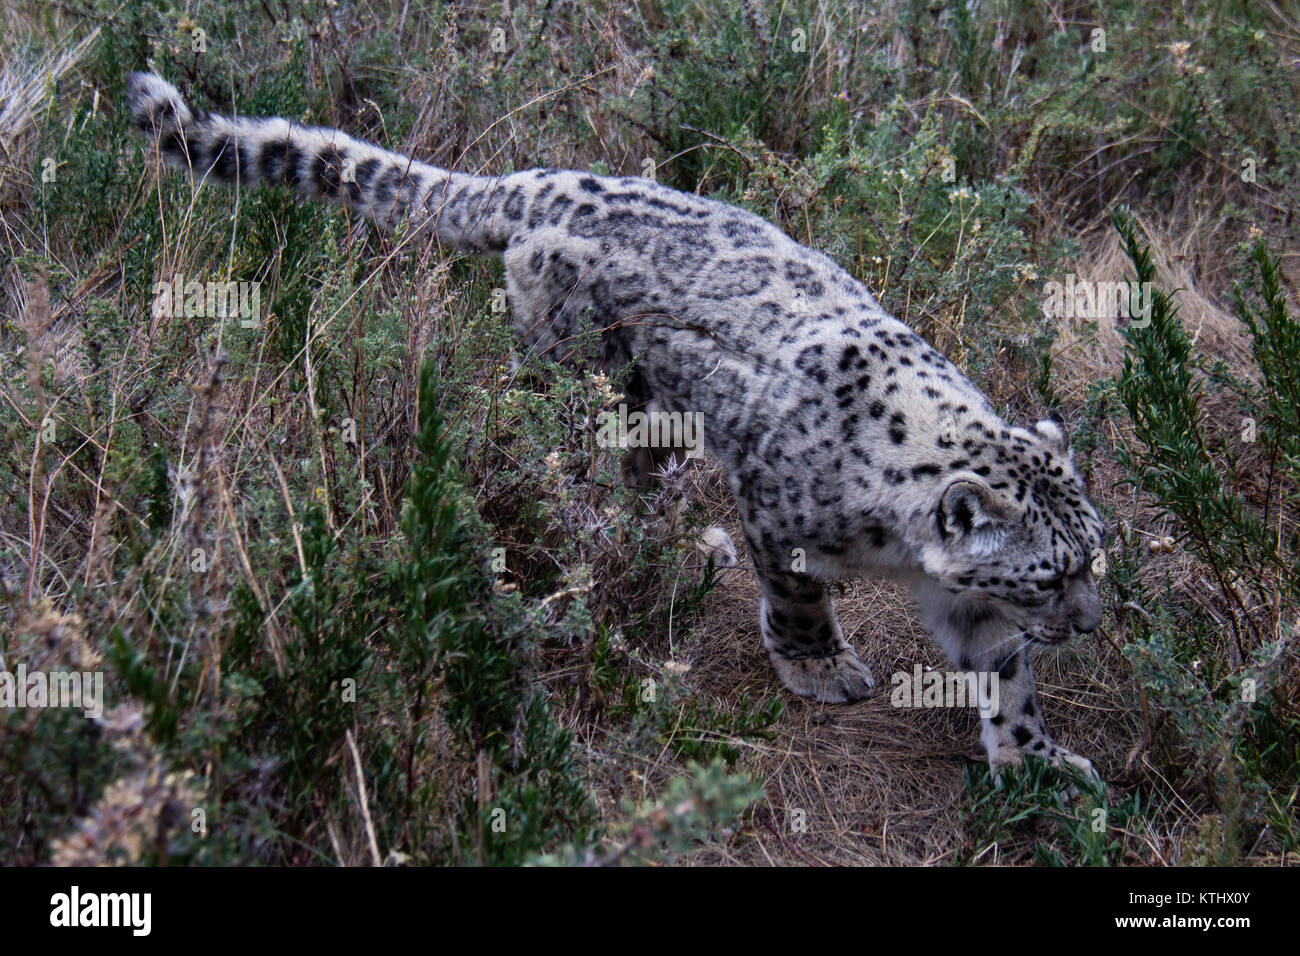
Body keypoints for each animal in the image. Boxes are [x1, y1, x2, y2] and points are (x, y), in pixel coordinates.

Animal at [129, 70, 1107, 775]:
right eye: (1049, 576)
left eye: (1092, 558)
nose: (1092, 625)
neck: (898, 547)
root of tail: (530, 184)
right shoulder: (779, 513)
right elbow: (798, 598)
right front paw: (820, 667)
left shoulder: (967, 601)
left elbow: (1003, 673)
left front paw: (1036, 761)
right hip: (564, 374)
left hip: (653, 407)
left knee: (641, 472)